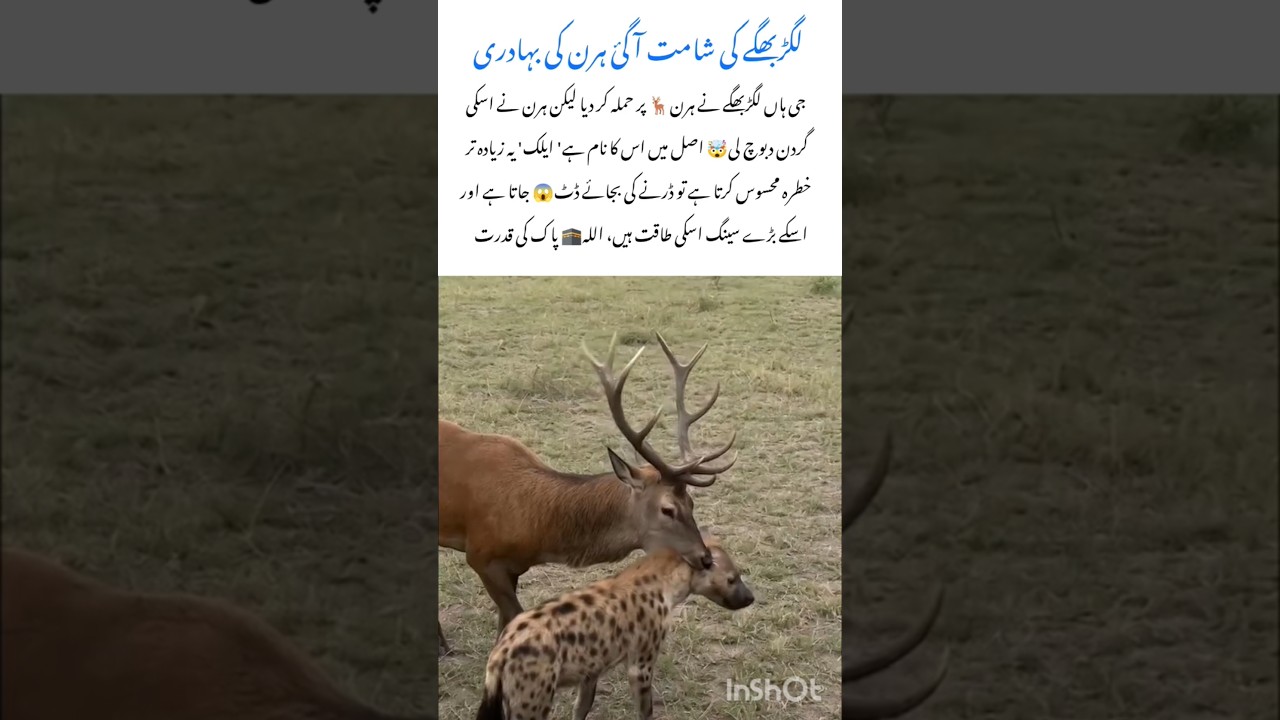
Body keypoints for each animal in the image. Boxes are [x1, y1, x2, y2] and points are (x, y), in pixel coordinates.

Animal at [438, 331, 737, 657]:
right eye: (667, 509)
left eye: (692, 502)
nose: (706, 557)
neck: (536, 529)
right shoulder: (481, 556)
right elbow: (514, 619)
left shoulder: (514, 567)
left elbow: (504, 624)